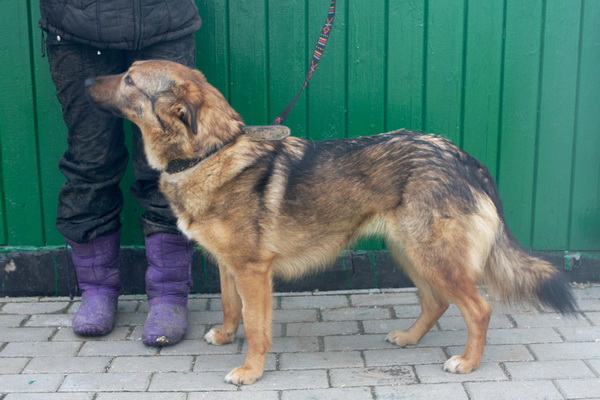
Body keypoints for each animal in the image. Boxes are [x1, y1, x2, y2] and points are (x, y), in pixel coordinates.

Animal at [85, 60, 577, 385]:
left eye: (128, 79)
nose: (86, 79)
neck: (210, 152)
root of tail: (462, 157)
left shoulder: (253, 272)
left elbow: (257, 328)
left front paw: (250, 370)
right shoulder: (229, 266)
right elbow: (229, 308)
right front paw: (225, 336)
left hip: (432, 256)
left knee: (479, 308)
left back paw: (468, 362)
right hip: (410, 253)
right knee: (436, 302)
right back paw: (409, 338)